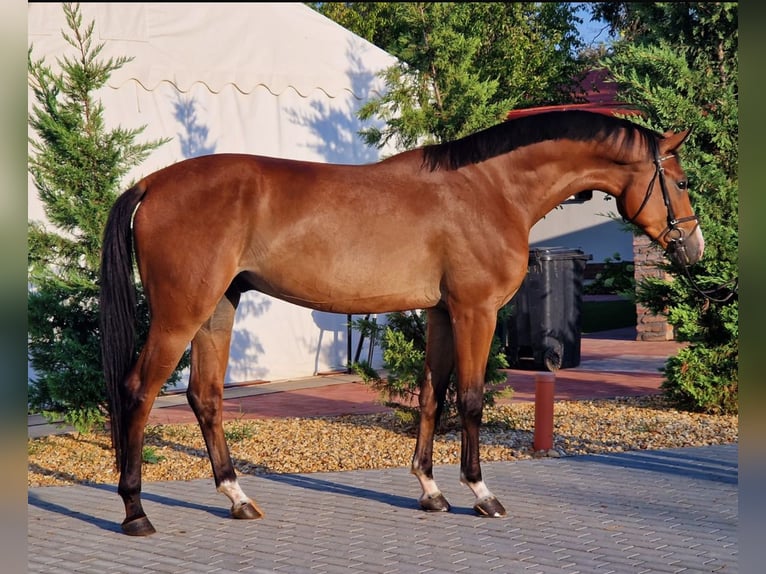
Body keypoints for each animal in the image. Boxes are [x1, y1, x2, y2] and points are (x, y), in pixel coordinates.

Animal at [102, 110, 708, 536]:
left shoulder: (441, 313)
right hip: (181, 314)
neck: (490, 189)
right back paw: (136, 512)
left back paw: (239, 499)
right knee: (137, 391)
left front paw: (430, 491)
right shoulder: (475, 311)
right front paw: (481, 495)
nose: (694, 249)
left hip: (218, 308)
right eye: (680, 182)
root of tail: (152, 184)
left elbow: (432, 396)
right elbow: (470, 399)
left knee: (205, 396)